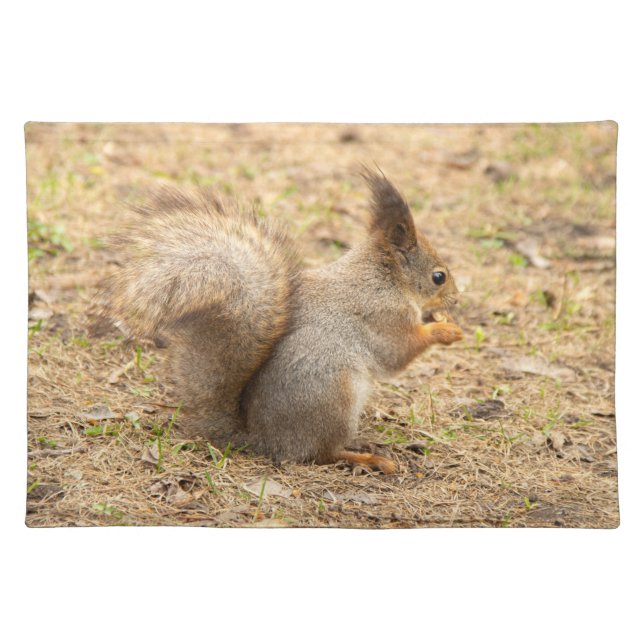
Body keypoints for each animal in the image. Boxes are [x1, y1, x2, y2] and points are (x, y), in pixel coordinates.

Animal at [96, 168, 464, 474]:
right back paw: (367, 458)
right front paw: (445, 329)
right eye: (439, 276)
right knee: (320, 454)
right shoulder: (384, 315)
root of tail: (261, 439)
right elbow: (398, 353)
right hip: (333, 396)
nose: (456, 300)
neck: (383, 278)